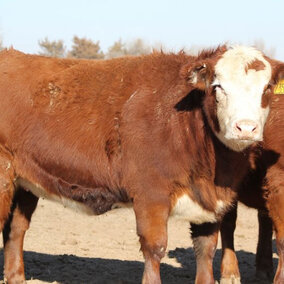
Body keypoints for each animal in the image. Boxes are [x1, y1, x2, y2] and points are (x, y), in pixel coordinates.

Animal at [0, 45, 282, 282]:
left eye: (267, 88)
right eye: (218, 87)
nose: (246, 128)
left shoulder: (212, 203)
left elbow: (206, 251)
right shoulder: (151, 194)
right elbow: (154, 247)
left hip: (24, 183)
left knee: (16, 230)